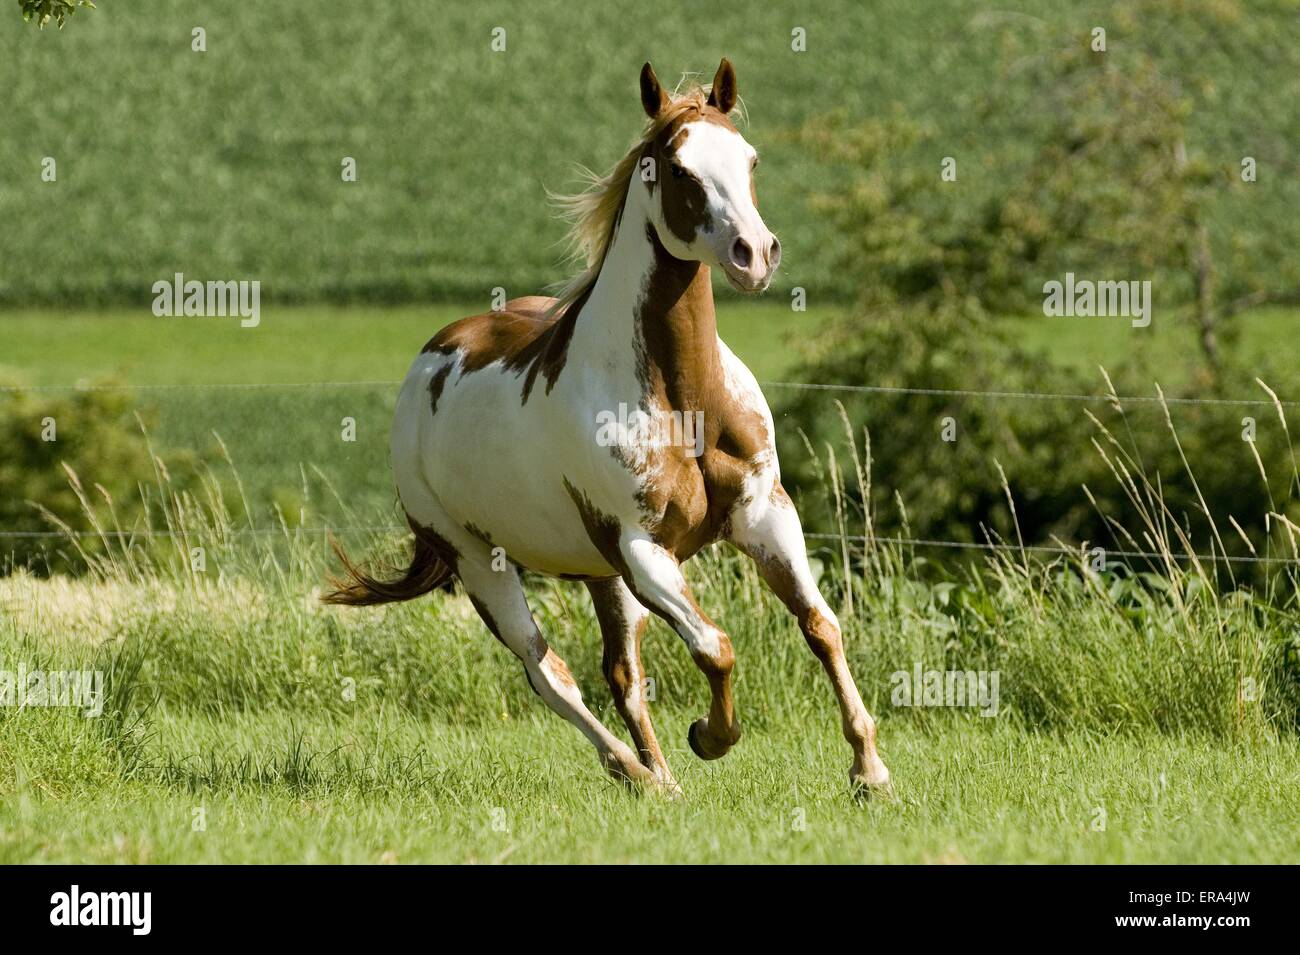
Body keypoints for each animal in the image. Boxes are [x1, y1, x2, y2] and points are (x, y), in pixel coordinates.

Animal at [324, 59, 891, 797]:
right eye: (677, 168)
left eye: (750, 158)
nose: (755, 255)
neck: (684, 400)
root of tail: (431, 359)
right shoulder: (643, 547)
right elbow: (715, 646)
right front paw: (711, 735)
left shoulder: (763, 514)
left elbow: (820, 625)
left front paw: (869, 769)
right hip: (480, 561)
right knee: (548, 673)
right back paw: (638, 772)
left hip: (600, 573)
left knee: (619, 673)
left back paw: (659, 777)